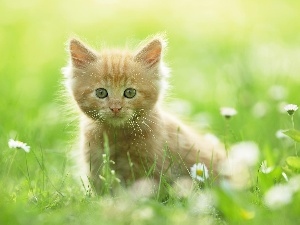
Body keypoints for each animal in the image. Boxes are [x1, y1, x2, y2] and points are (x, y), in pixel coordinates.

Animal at [63, 34, 227, 192]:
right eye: (101, 92)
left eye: (130, 92)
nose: (115, 108)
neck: (117, 134)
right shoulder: (96, 161)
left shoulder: (154, 164)